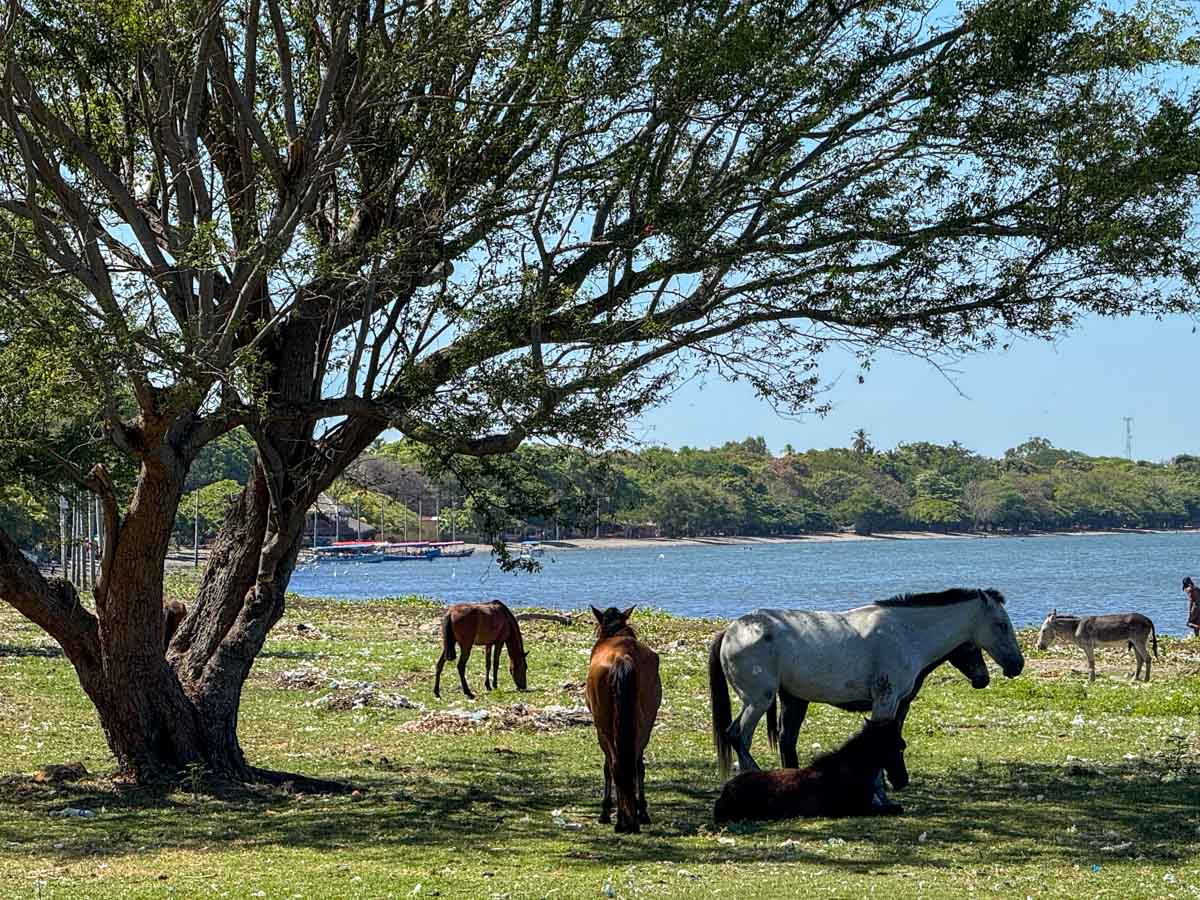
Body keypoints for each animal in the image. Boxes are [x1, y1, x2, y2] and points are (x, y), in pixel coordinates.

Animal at [585, 605, 662, 834]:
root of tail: (622, 658)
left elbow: (606, 767)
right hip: (641, 723)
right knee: (632, 764)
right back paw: (633, 817)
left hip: (606, 726)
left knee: (617, 765)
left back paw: (622, 818)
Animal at [713, 718, 908, 824]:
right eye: (899, 748)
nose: (902, 779)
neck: (852, 767)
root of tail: (725, 793)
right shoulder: (858, 809)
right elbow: (895, 808)